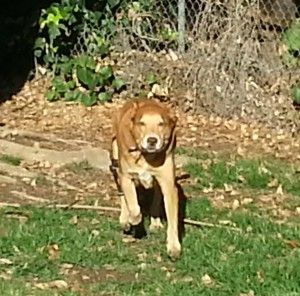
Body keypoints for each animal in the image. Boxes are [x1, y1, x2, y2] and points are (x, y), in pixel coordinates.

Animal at [110, 99, 179, 260]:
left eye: (161, 124)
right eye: (142, 123)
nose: (152, 140)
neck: (146, 156)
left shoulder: (169, 185)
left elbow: (173, 219)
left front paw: (173, 247)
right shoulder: (126, 177)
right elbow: (134, 208)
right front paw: (132, 220)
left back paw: (155, 222)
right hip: (116, 159)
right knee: (123, 196)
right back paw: (125, 219)